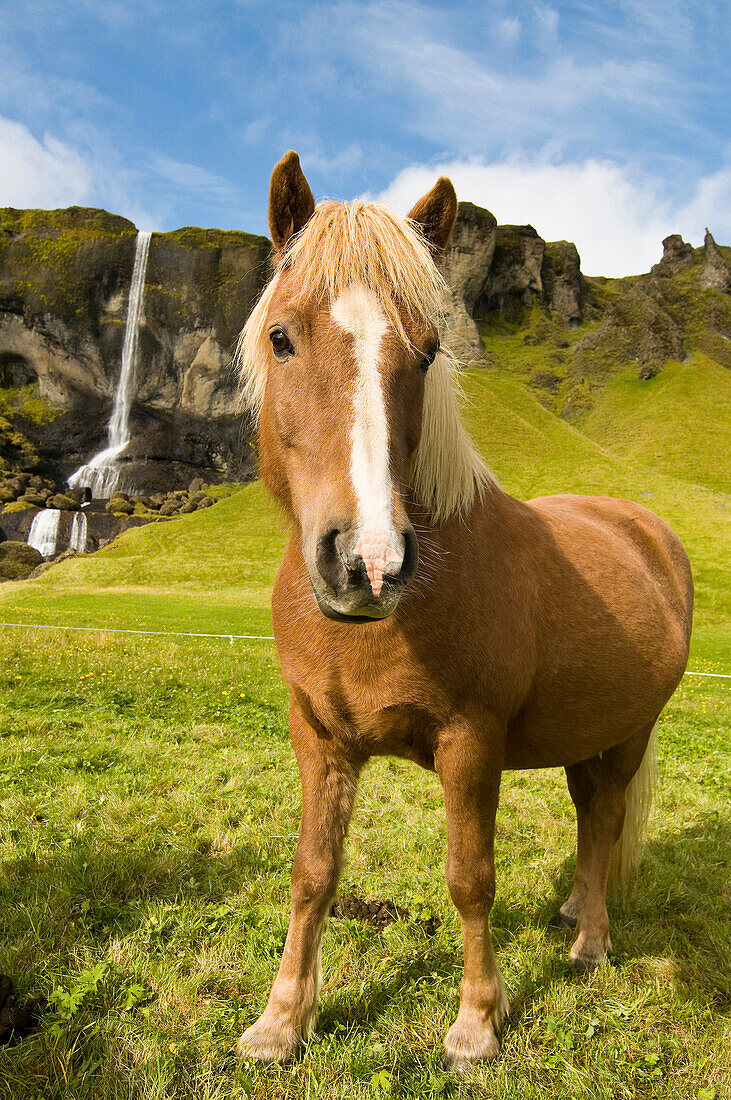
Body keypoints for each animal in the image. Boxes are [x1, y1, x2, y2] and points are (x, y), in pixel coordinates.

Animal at [231, 152, 690, 1064]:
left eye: (429, 349)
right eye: (281, 337)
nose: (369, 565)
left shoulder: (469, 744)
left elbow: (469, 878)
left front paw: (477, 1021)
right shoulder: (317, 736)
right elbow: (311, 874)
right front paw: (281, 1020)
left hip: (629, 732)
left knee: (608, 817)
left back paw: (591, 941)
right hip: (582, 732)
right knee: (588, 818)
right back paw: (574, 910)